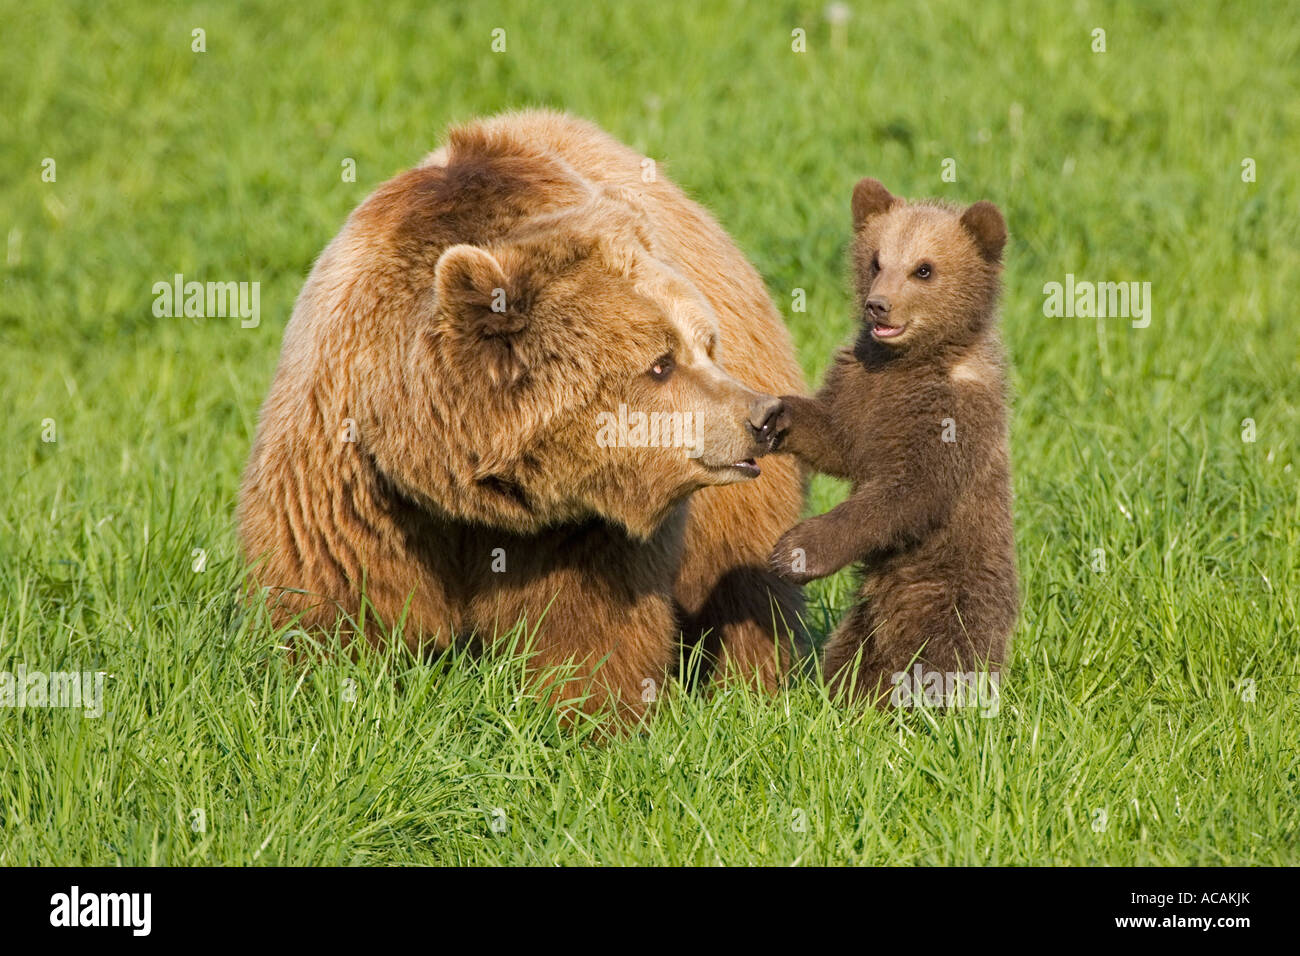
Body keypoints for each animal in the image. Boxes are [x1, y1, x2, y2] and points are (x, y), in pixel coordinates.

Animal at [237, 110, 808, 722]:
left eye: (704, 344)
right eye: (661, 363)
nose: (762, 416)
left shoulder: (579, 527)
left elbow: (585, 627)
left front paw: (590, 714)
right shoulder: (352, 480)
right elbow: (332, 599)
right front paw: (319, 685)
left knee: (744, 586)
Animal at [768, 177, 1018, 706]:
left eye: (924, 268)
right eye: (876, 260)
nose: (878, 304)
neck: (908, 361)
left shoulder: (951, 418)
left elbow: (907, 491)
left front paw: (797, 551)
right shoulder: (861, 384)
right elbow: (838, 438)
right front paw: (778, 415)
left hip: (947, 586)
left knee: (941, 658)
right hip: (868, 611)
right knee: (853, 653)